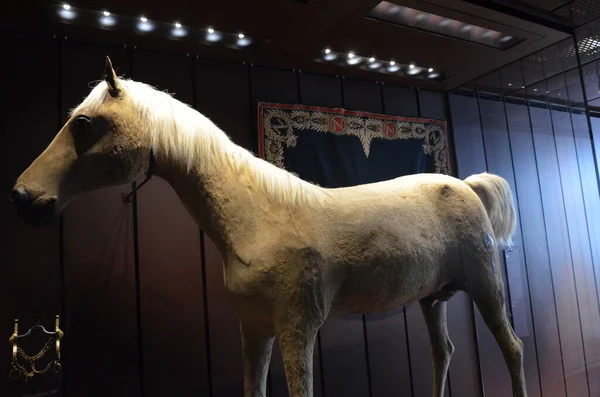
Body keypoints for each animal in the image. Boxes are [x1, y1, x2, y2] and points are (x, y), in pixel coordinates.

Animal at [12, 58, 524, 396]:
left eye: (83, 123)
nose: (22, 198)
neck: (258, 219)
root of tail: (466, 186)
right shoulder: (254, 328)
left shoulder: (297, 328)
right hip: (431, 299)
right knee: (444, 354)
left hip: (485, 287)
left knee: (513, 349)